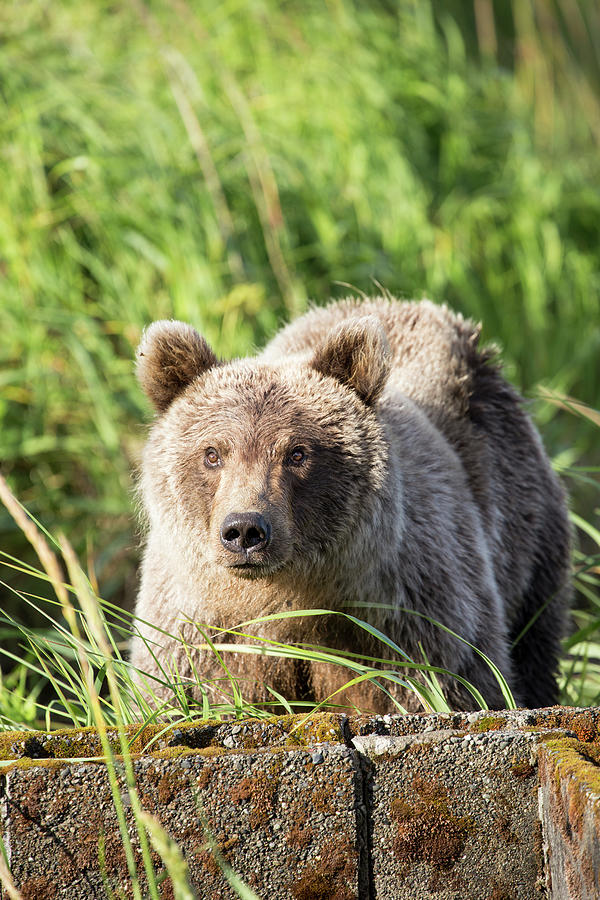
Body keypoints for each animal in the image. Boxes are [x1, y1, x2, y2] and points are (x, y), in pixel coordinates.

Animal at [129, 298, 568, 712]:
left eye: (297, 453)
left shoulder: (409, 609)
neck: (293, 596)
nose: (245, 530)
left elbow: (451, 681)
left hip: (521, 519)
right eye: (213, 453)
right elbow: (177, 690)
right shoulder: (199, 626)